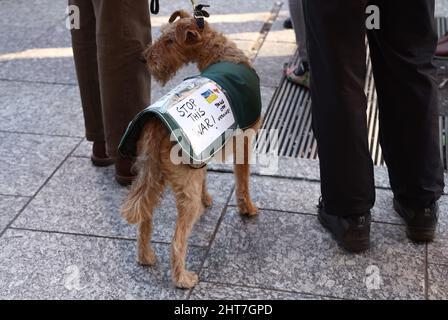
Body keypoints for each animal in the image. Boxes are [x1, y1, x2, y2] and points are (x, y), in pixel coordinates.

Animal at [121, 10, 260, 290]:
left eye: (169, 40)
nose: (144, 58)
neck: (223, 53)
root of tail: (156, 124)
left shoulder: (203, 151)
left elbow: (206, 176)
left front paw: (208, 199)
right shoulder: (245, 142)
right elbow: (243, 182)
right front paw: (247, 209)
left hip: (152, 175)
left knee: (145, 220)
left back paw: (145, 257)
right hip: (184, 191)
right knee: (177, 240)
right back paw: (183, 278)